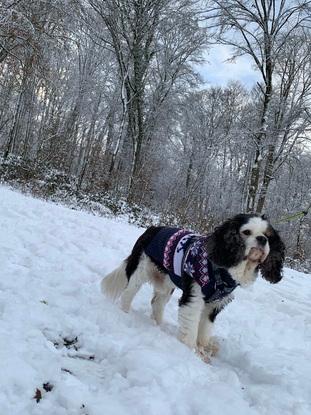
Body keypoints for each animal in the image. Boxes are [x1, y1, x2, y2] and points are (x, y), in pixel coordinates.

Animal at [102, 214, 286, 360]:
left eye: (269, 236)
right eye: (246, 232)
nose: (262, 239)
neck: (222, 269)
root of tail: (152, 228)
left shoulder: (214, 304)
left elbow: (204, 330)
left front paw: (203, 349)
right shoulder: (195, 297)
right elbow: (191, 328)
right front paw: (192, 352)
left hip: (166, 282)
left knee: (157, 302)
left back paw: (159, 326)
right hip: (141, 269)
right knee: (128, 292)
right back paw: (124, 313)